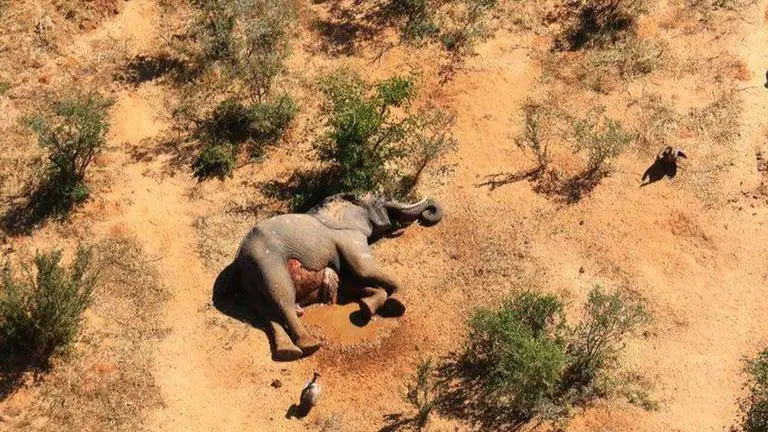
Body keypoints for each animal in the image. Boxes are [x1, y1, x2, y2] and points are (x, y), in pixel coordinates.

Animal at [230, 193, 443, 361]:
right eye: (382, 200)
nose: (428, 211)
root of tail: (239, 257)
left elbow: (349, 283)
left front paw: (367, 307)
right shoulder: (349, 236)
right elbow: (364, 269)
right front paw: (396, 304)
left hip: (250, 276)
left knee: (266, 313)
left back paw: (288, 352)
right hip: (267, 261)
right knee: (283, 300)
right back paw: (310, 345)